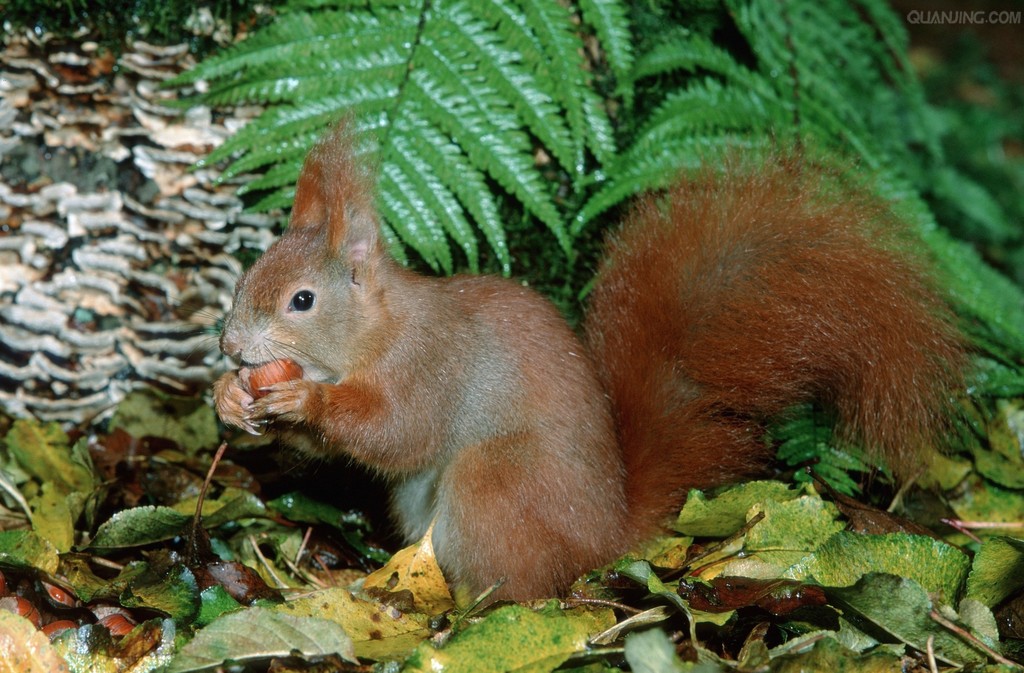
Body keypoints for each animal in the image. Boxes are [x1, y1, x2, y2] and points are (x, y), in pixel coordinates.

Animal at [213, 125, 964, 601]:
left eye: (302, 300)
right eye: (248, 272)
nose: (229, 347)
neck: (378, 332)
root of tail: (604, 538)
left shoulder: (433, 366)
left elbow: (398, 433)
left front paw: (304, 401)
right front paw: (230, 399)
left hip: (496, 482)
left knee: (522, 589)